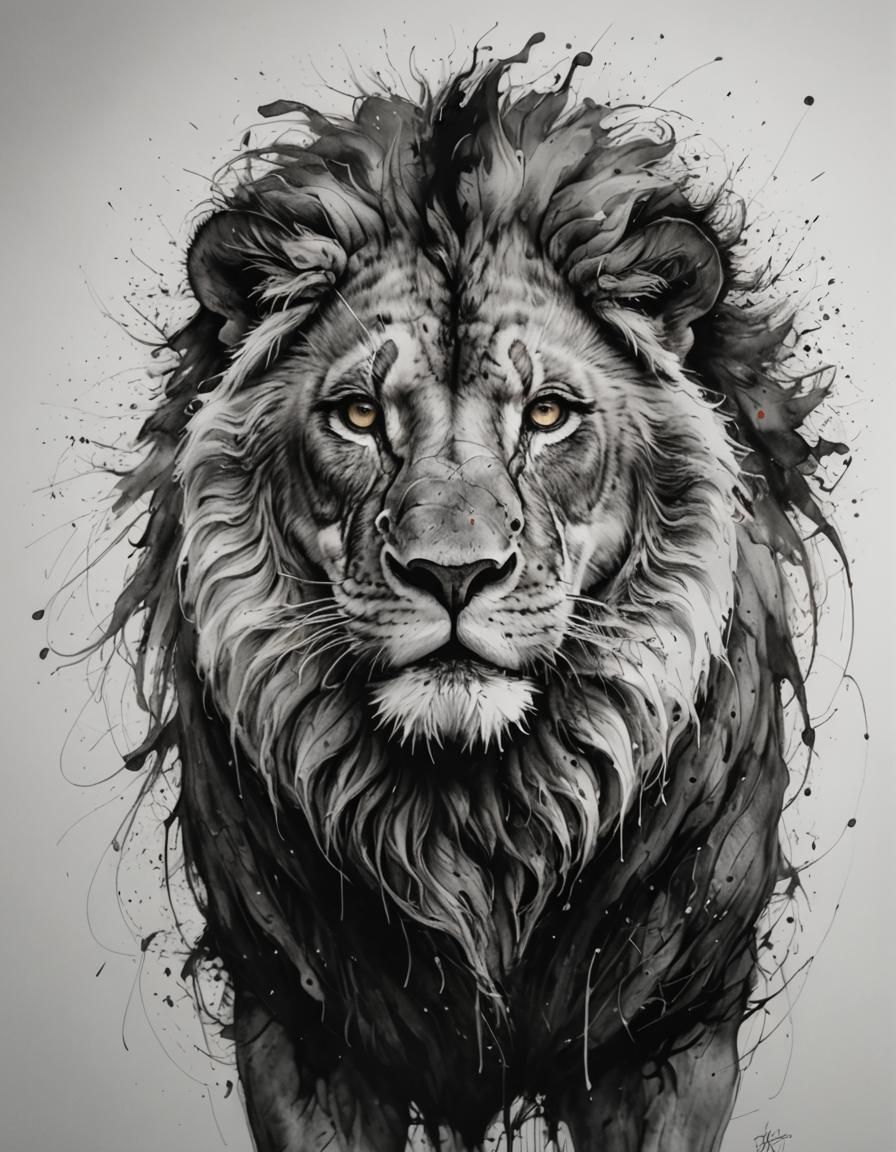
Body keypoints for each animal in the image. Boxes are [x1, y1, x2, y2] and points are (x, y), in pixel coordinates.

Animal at [105, 33, 843, 1152]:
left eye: (546, 414)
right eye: (360, 415)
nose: (451, 573)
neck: (473, 818)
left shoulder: (670, 1035)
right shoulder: (302, 1032)